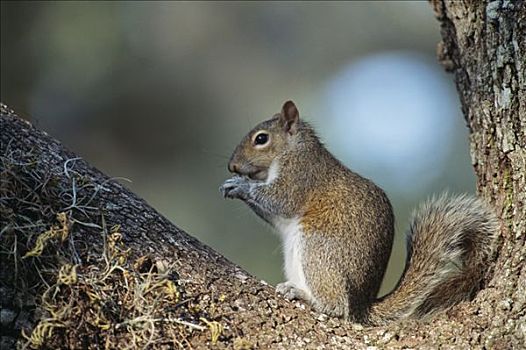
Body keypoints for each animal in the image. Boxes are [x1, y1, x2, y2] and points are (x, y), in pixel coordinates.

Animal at [221, 101, 502, 326]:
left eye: (261, 139)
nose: (232, 166)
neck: (294, 148)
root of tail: (362, 305)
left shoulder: (301, 176)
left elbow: (280, 200)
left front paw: (240, 186)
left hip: (317, 249)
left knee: (337, 307)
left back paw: (304, 295)